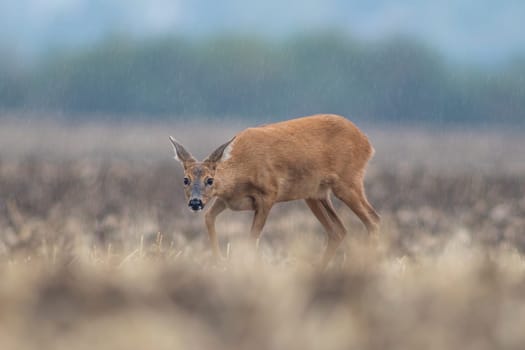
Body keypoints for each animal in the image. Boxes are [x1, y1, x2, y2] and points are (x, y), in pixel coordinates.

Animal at [170, 115, 378, 268]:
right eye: (185, 179)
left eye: (210, 180)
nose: (195, 202)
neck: (241, 171)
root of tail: (367, 143)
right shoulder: (226, 200)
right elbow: (209, 218)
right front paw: (219, 259)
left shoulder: (268, 194)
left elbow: (253, 236)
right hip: (315, 193)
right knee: (338, 230)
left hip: (348, 180)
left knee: (373, 219)